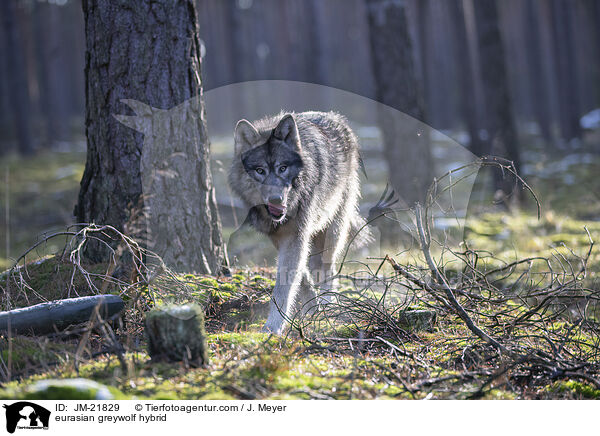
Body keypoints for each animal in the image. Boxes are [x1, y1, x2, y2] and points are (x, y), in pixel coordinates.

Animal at [230, 110, 368, 332]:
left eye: (283, 168)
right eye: (260, 171)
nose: (276, 199)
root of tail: (338, 119)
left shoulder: (295, 235)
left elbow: (283, 287)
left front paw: (273, 327)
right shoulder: (281, 237)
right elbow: (300, 275)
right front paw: (311, 306)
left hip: (333, 230)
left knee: (328, 266)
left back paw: (329, 301)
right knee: (315, 264)